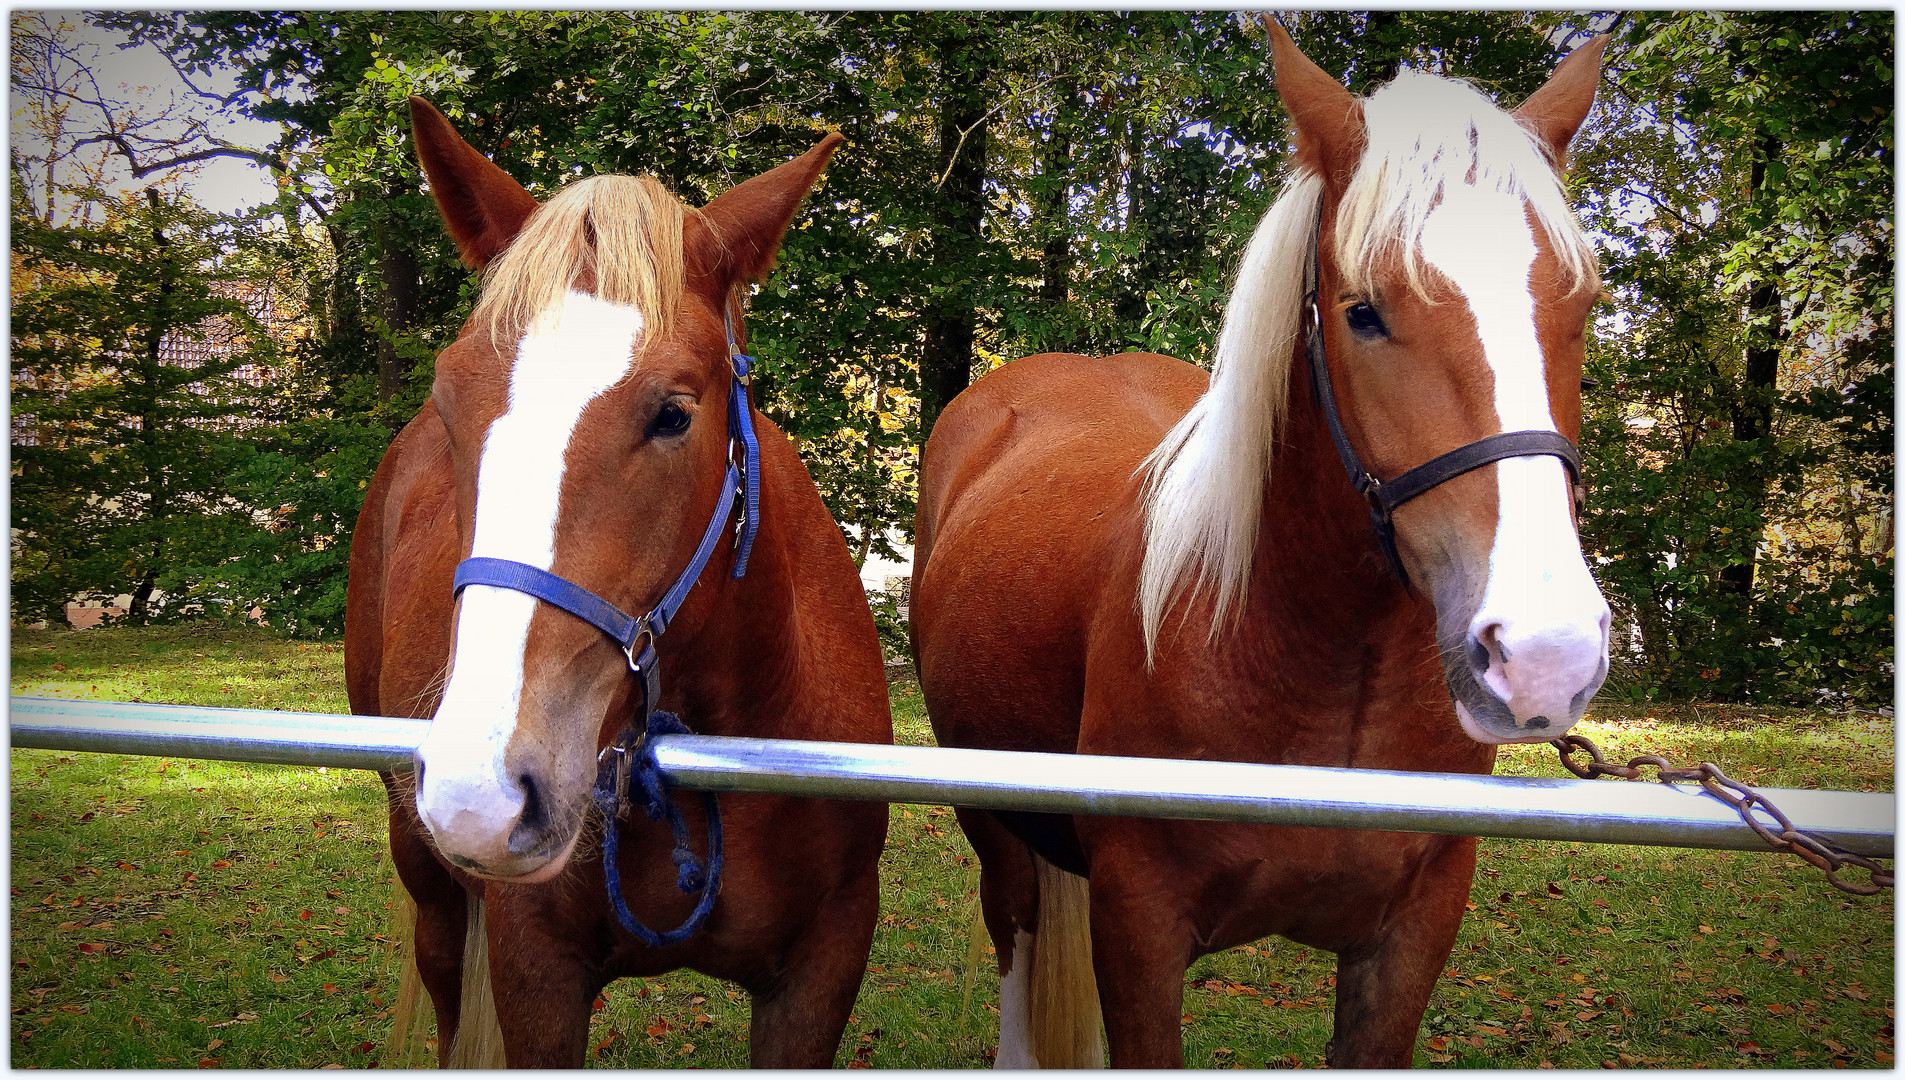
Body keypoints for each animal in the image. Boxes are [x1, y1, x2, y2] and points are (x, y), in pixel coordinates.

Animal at [344, 101, 891, 1074]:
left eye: (674, 413)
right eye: (449, 402)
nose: (482, 790)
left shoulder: (822, 968)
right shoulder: (534, 971)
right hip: (433, 889)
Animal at [906, 25, 1607, 1074]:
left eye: (1582, 305)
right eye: (1363, 311)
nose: (1543, 654)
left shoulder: (1408, 936)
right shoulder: (1138, 932)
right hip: (997, 833)